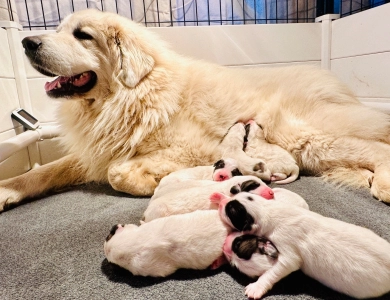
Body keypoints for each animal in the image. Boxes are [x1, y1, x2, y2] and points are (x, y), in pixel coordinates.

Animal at [0, 9, 390, 211]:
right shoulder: (97, 148)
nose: (28, 42)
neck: (131, 95)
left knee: (377, 148)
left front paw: (146, 183)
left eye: (82, 35)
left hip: (306, 137)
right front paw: (8, 189)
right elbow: (46, 171)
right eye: (59, 29)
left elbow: (117, 173)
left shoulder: (194, 148)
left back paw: (383, 183)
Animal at [216, 192, 390, 300]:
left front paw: (256, 287)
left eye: (230, 211)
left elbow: (277, 269)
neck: (267, 210)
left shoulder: (289, 252)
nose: (221, 200)